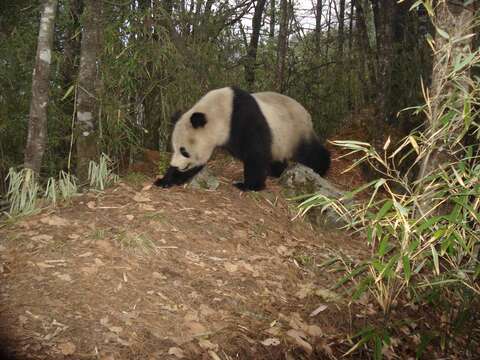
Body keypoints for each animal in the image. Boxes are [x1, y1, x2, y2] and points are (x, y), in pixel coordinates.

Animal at [154, 86, 330, 191]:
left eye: (184, 151)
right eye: (174, 148)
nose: (175, 165)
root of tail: (306, 113)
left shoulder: (245, 120)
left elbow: (255, 154)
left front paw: (248, 185)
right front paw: (165, 180)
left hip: (294, 130)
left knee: (309, 152)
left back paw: (321, 168)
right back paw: (276, 172)